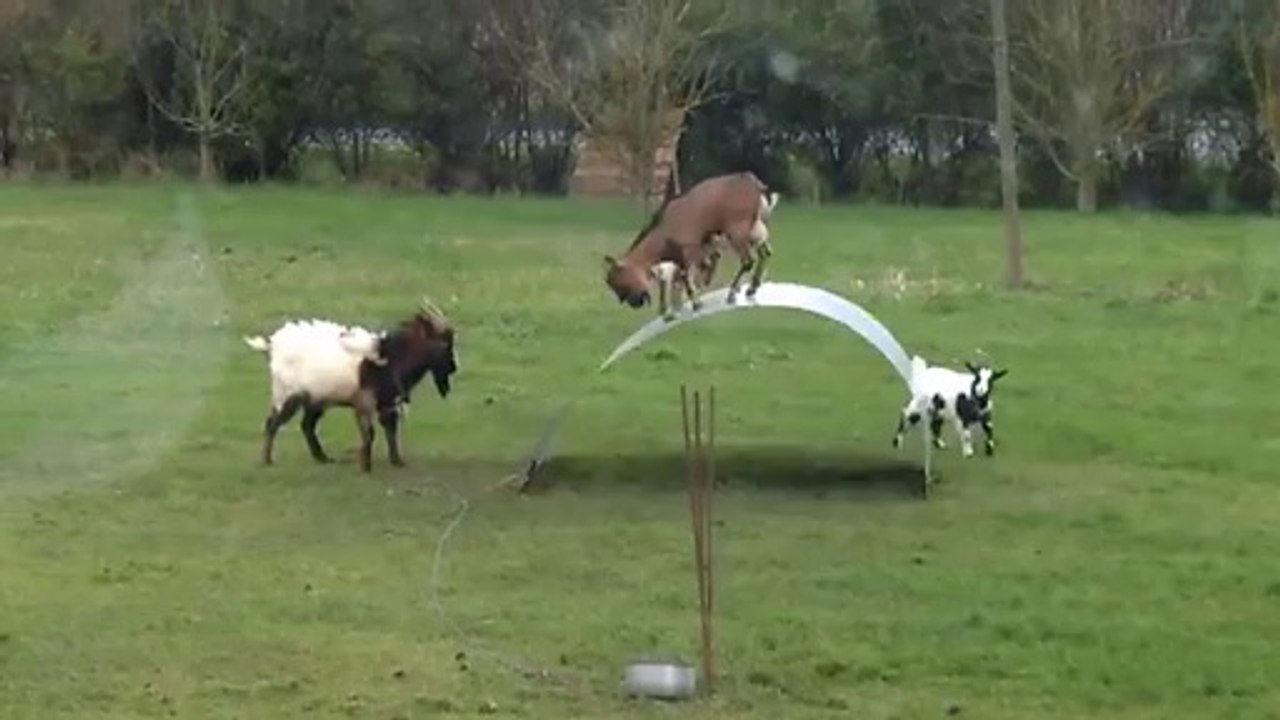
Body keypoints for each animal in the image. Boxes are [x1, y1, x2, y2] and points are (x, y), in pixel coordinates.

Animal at [243, 298, 458, 472]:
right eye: (443, 343)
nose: (454, 368)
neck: (391, 358)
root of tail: (273, 345)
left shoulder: (387, 403)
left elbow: (391, 430)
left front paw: (397, 461)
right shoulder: (365, 402)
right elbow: (369, 433)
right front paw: (365, 467)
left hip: (315, 399)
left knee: (307, 425)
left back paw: (322, 458)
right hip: (288, 394)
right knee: (273, 423)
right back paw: (267, 460)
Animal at [604, 172, 780, 319]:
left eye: (620, 281)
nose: (635, 302)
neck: (663, 231)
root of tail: (755, 185)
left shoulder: (687, 252)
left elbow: (686, 278)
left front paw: (695, 304)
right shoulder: (695, 252)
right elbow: (688, 276)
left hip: (738, 231)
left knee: (748, 261)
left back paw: (731, 293)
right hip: (757, 229)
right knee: (765, 253)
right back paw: (752, 288)